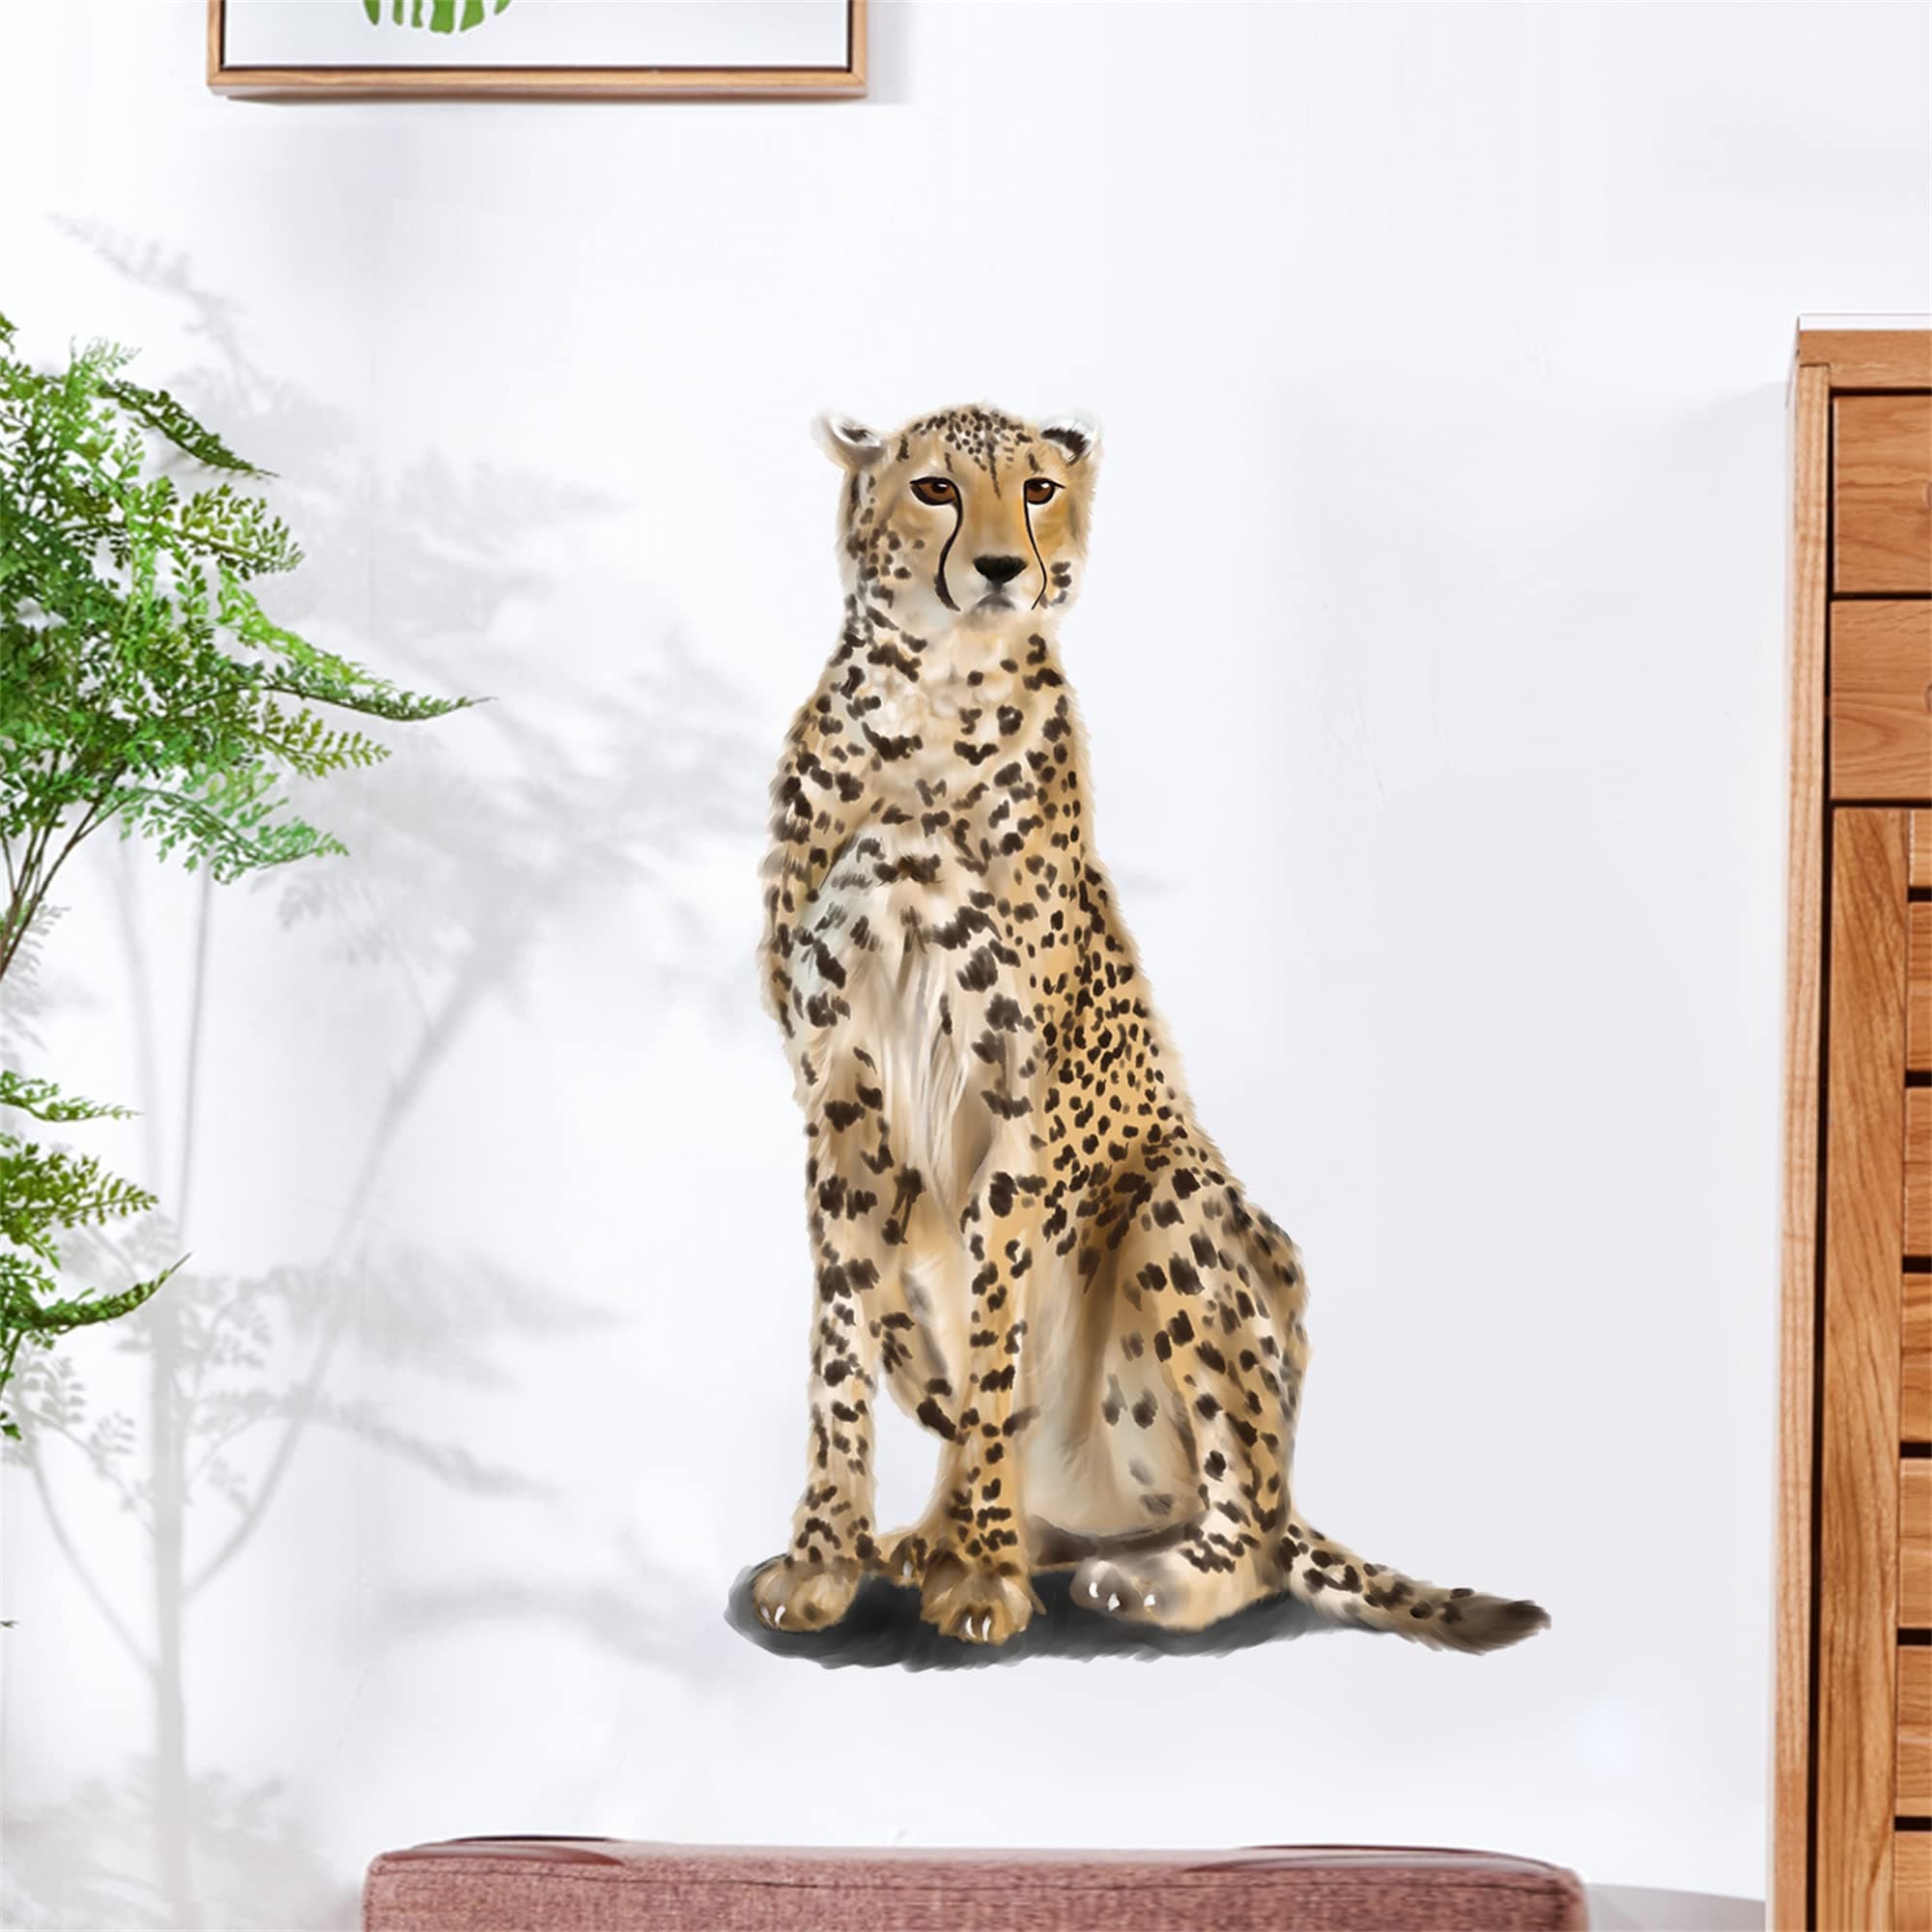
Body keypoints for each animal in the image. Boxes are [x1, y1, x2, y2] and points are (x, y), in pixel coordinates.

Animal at [746, 403, 1547, 1655]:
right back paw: (940, 1534)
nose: (1000, 567)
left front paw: (979, 1571)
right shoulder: (834, 1090)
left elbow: (992, 1347)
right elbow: (847, 1332)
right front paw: (827, 1552)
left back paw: (1125, 1570)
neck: (929, 708)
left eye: (1033, 488)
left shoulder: (1016, 1099)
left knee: (1254, 1533)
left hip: (1180, 1206)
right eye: (933, 486)